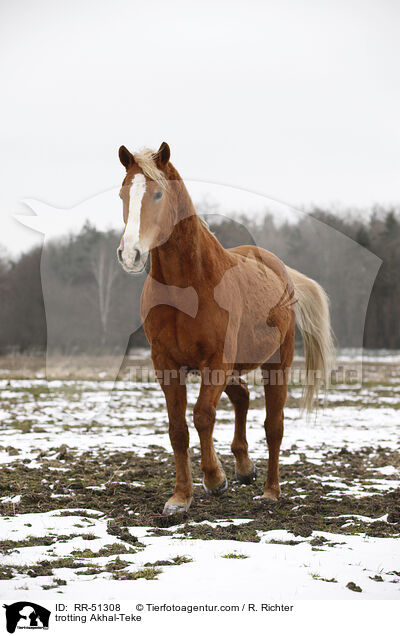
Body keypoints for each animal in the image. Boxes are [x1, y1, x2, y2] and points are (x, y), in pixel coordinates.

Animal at [116, 142, 334, 516]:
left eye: (158, 194)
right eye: (122, 194)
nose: (130, 254)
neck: (187, 287)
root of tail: (280, 270)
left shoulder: (215, 362)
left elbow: (203, 416)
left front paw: (215, 479)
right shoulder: (167, 365)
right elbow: (178, 429)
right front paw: (180, 498)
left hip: (277, 364)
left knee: (274, 426)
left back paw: (270, 491)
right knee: (242, 396)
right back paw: (245, 468)